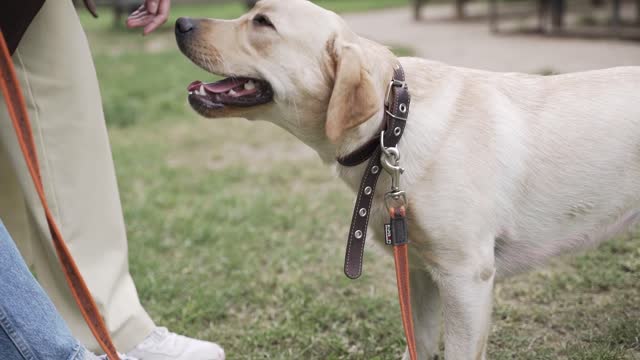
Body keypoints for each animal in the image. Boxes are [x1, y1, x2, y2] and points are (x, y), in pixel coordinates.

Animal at [175, 1, 640, 358]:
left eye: (263, 23)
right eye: (250, 11)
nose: (179, 22)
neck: (393, 127)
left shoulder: (466, 278)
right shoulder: (418, 270)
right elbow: (418, 343)